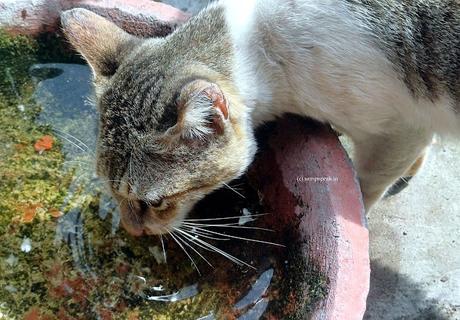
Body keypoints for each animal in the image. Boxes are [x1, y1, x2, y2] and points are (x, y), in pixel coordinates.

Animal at [61, 0, 460, 235]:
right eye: (108, 189)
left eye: (155, 202)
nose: (131, 229)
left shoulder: (399, 130)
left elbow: (367, 186)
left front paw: (363, 209)